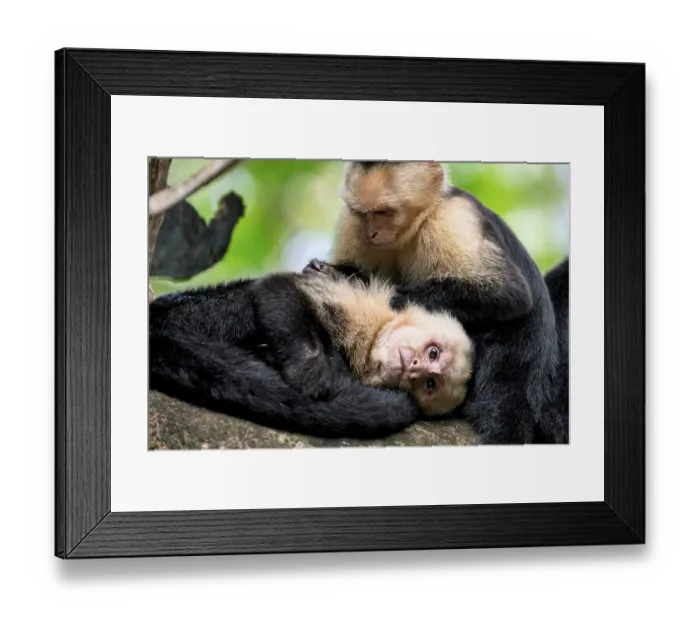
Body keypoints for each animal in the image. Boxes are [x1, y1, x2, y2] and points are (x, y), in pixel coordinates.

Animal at [149, 265, 475, 440]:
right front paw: (317, 378)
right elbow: (278, 289)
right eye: (433, 353)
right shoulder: (362, 310)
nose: (416, 367)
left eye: (430, 383)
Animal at [305, 160, 568, 444]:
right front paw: (331, 270)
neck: (410, 231)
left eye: (384, 212)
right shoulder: (352, 223)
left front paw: (347, 279)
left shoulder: (452, 217)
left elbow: (508, 294)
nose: (372, 233)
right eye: (363, 213)